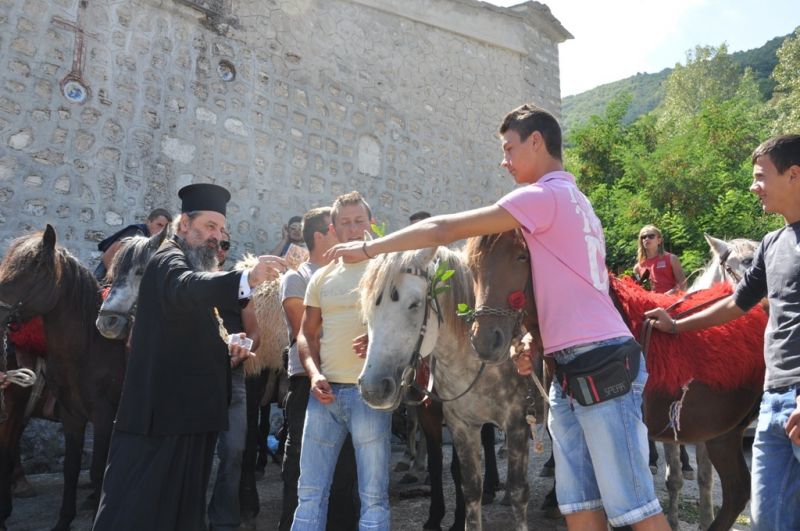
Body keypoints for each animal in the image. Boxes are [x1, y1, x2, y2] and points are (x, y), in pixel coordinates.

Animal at [0, 225, 126, 531]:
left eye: (36, 265)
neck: (89, 348)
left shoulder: (103, 415)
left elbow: (97, 469)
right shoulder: (71, 415)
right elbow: (71, 467)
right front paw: (64, 520)